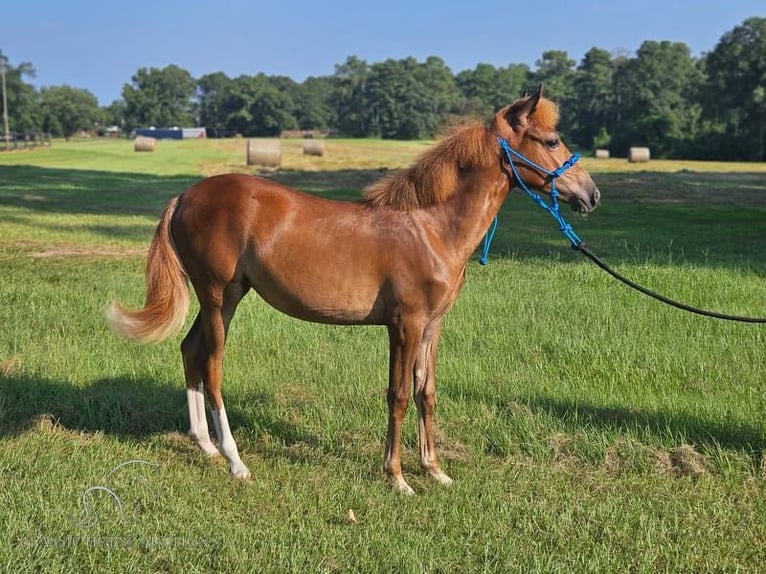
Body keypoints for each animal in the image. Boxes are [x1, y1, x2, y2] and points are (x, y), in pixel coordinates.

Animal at [106, 86, 600, 496]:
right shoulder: (405, 325)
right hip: (217, 296)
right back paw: (235, 461)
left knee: (190, 350)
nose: (590, 194)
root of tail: (185, 197)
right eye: (551, 140)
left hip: (227, 297)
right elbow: (397, 395)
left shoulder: (433, 326)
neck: (431, 227)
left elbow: (426, 392)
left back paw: (205, 446)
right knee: (211, 367)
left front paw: (435, 470)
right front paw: (398, 477)